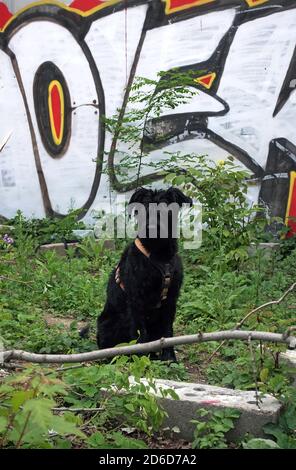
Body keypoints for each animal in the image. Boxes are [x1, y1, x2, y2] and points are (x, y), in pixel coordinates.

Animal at [96, 186, 192, 360]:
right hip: (110, 324)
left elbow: (168, 331)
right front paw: (141, 358)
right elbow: (141, 334)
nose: (152, 227)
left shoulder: (171, 300)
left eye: (166, 209)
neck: (159, 255)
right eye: (144, 209)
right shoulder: (136, 301)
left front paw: (169, 357)